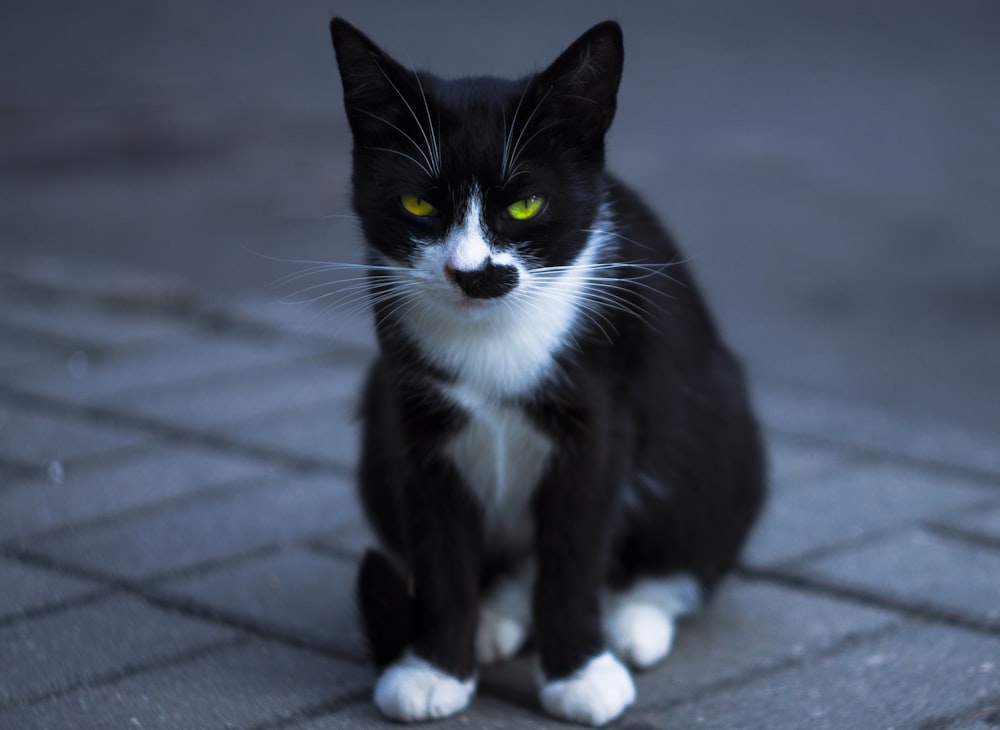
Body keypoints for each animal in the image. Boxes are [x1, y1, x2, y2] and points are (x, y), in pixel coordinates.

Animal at [328, 18, 764, 728]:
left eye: (527, 205)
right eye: (418, 203)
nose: (470, 272)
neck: (493, 340)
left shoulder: (601, 418)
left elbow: (575, 550)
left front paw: (580, 675)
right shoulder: (414, 418)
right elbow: (439, 549)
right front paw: (431, 669)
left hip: (719, 417)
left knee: (690, 541)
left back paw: (634, 619)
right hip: (376, 419)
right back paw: (495, 616)